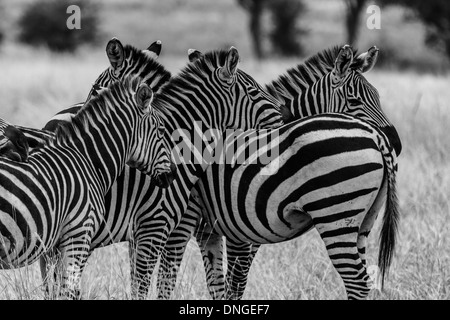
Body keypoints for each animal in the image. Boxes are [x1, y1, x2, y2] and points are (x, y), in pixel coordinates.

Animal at [0, 76, 176, 298]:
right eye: (162, 130)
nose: (173, 174)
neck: (87, 159)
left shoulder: (55, 246)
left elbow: (54, 290)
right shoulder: (78, 235)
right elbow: (69, 291)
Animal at [156, 43, 402, 298]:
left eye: (378, 97)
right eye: (354, 101)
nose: (396, 143)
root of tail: (376, 136)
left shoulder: (232, 227)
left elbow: (231, 283)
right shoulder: (215, 227)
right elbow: (220, 284)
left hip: (338, 213)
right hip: (362, 220)